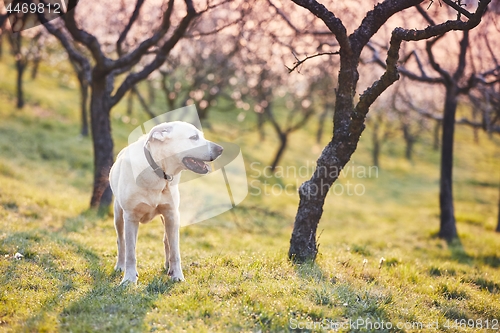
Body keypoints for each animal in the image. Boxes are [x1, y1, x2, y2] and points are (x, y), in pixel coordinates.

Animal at [109, 121, 223, 282]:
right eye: (194, 137)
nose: (220, 149)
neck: (157, 170)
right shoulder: (130, 217)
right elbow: (130, 252)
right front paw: (129, 279)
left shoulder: (171, 214)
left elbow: (175, 251)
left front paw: (177, 276)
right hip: (118, 216)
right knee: (121, 241)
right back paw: (120, 266)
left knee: (167, 241)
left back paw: (168, 266)